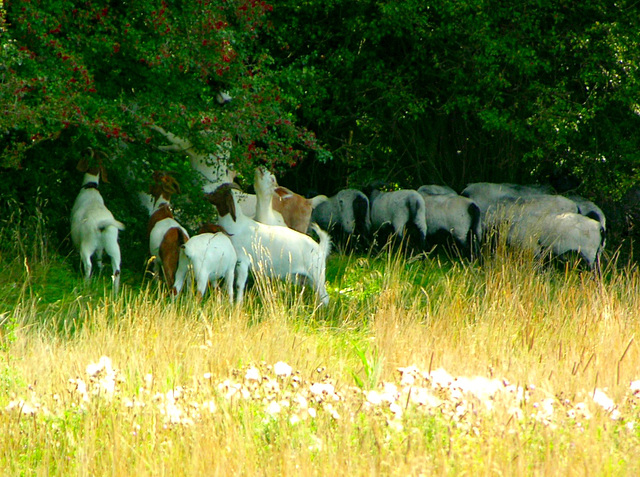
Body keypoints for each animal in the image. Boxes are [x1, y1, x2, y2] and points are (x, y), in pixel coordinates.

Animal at [70, 149, 125, 292]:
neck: (90, 188)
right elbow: (100, 258)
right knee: (116, 270)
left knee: (88, 265)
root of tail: (102, 224)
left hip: (87, 244)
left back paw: (86, 284)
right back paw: (115, 292)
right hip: (113, 245)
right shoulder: (100, 248)